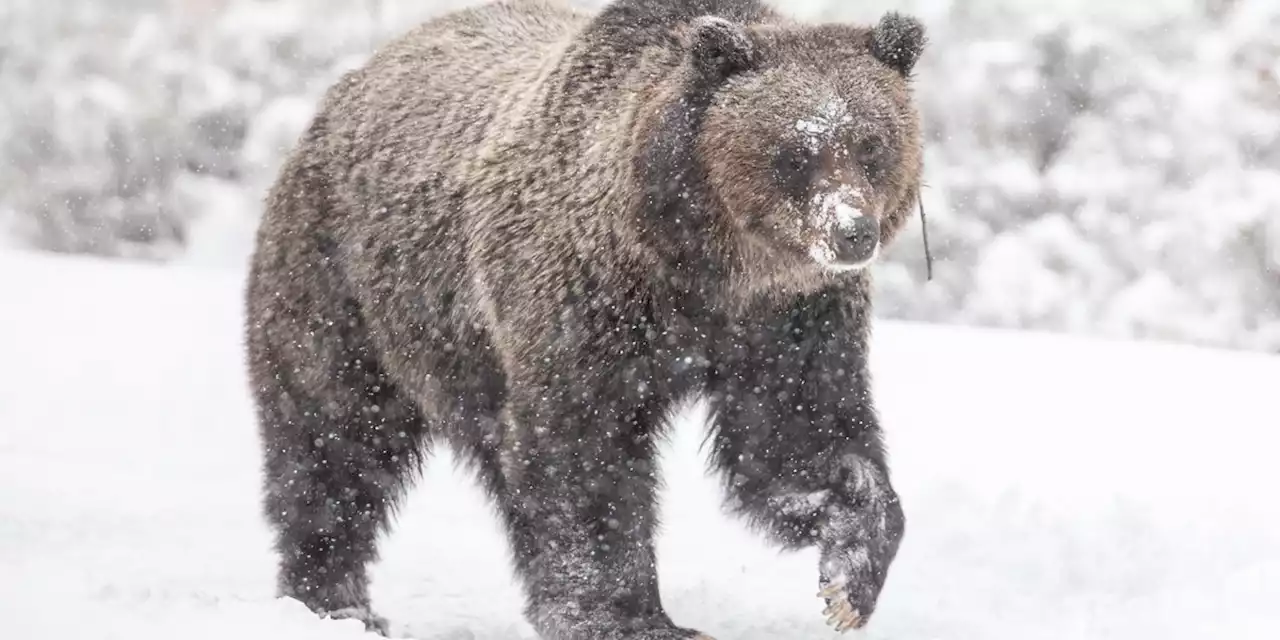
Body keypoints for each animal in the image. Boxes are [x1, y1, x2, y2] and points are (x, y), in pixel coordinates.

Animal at [241, 0, 921, 637]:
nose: (852, 231)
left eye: (872, 145)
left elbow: (799, 437)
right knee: (334, 443)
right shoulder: (586, 303)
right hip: (348, 291)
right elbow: (585, 455)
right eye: (795, 152)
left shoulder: (791, 324)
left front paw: (848, 577)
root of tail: (347, 85)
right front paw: (628, 617)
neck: (703, 273)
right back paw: (333, 600)